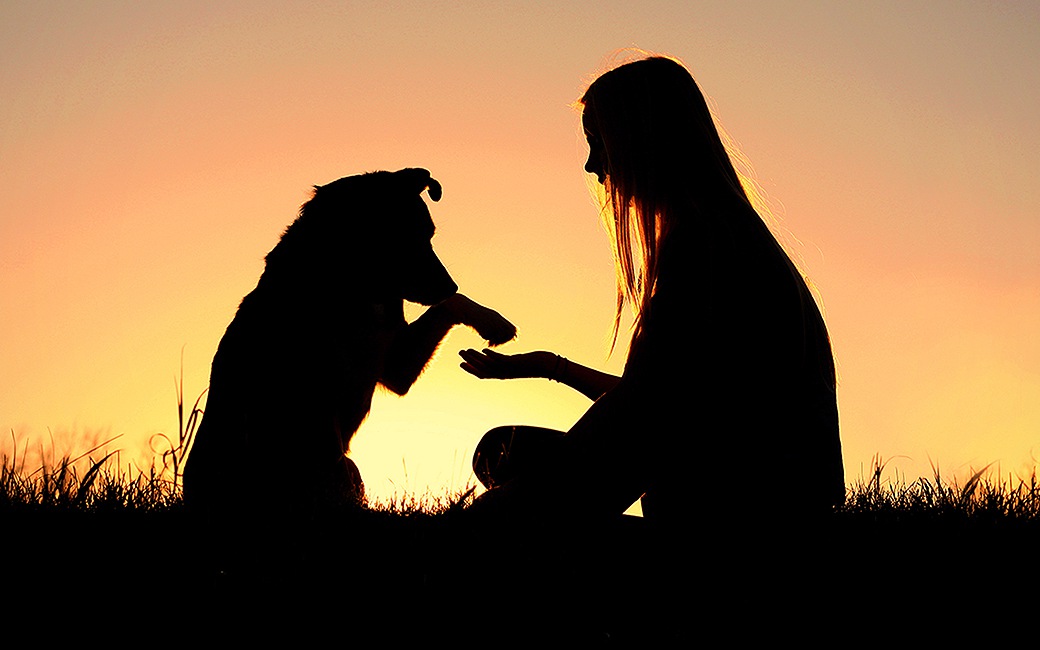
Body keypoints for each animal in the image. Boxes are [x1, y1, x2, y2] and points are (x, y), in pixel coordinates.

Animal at [185, 167, 517, 517]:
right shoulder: (317, 400)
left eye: (429, 233)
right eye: (403, 235)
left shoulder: (394, 365)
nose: (448, 284)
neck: (354, 286)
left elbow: (451, 304)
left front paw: (494, 322)